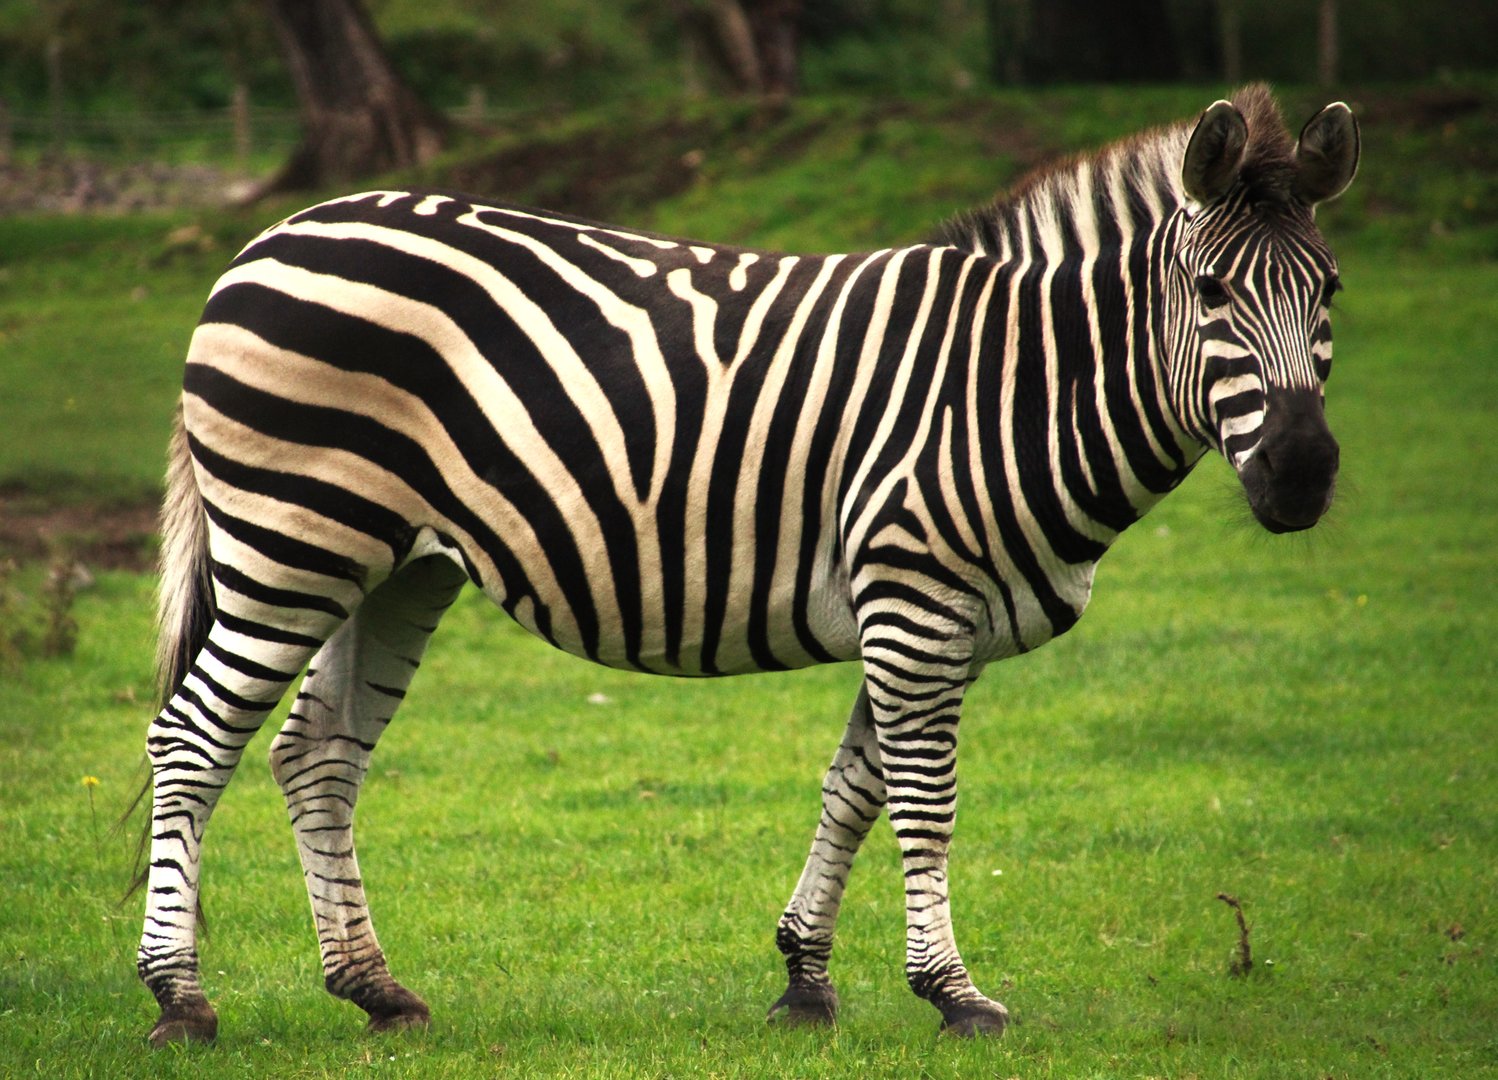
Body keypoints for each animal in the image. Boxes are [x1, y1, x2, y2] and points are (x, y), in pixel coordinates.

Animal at [136, 84, 1359, 1045]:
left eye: (1331, 292)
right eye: (1210, 296)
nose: (1301, 478)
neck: (1015, 384)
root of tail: (272, 237)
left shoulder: (926, 616)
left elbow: (856, 789)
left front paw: (804, 979)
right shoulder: (917, 601)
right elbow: (925, 802)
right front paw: (954, 992)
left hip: (388, 565)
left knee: (316, 755)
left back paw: (374, 990)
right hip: (292, 538)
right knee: (191, 740)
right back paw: (180, 999)